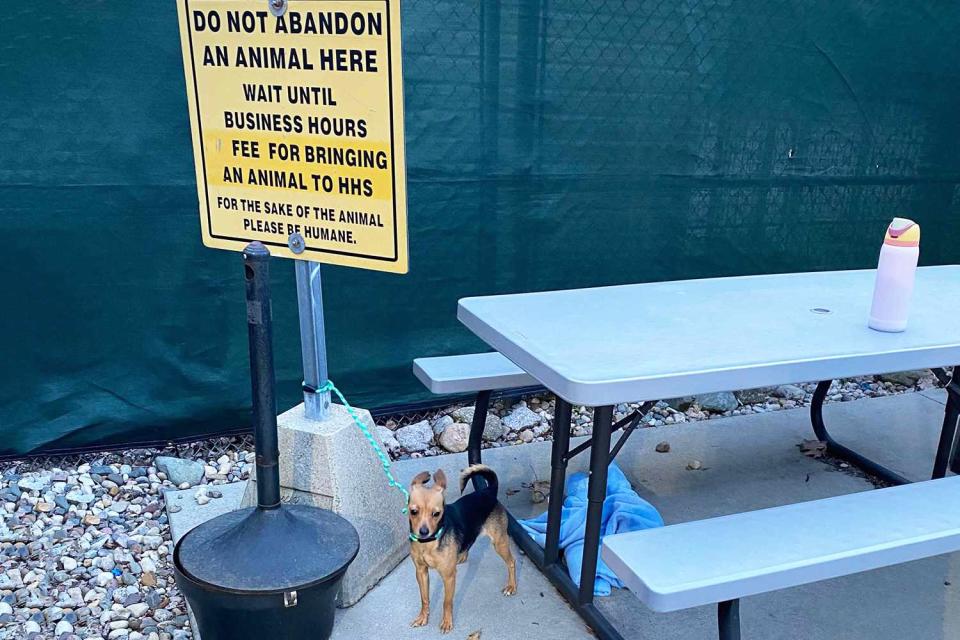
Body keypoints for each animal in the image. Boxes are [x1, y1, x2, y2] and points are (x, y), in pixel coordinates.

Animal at [406, 462, 516, 632]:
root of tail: (488, 491)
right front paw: (423, 617)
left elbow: (447, 602)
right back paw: (461, 557)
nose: (424, 532)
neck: (429, 543)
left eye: (436, 514)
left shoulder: (448, 577)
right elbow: (424, 599)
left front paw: (446, 622)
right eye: (413, 511)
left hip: (499, 543)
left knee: (511, 562)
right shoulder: (421, 572)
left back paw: (511, 586)